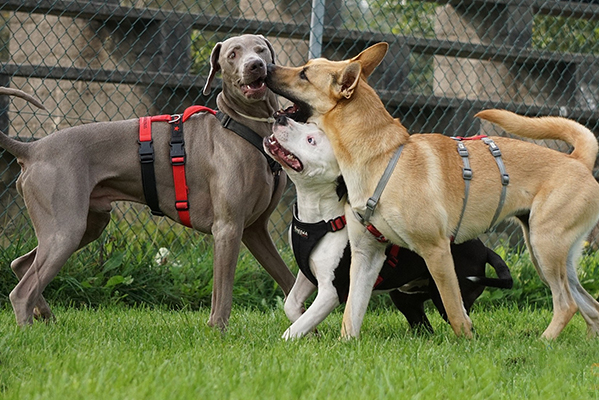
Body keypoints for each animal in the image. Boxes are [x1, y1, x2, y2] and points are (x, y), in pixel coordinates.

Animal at [0, 33, 296, 328]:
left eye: (260, 50)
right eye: (233, 54)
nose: (255, 65)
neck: (243, 126)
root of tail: (32, 149)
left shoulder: (255, 229)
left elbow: (290, 281)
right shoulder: (228, 228)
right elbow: (222, 295)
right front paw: (218, 332)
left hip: (88, 224)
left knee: (22, 265)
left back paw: (47, 317)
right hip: (66, 229)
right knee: (22, 292)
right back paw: (30, 329)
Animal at [264, 114, 512, 340]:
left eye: (311, 140)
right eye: (308, 124)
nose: (280, 117)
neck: (318, 217)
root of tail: (484, 248)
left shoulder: (332, 291)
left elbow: (294, 329)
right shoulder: (308, 274)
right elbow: (291, 305)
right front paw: (312, 333)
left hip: (445, 294)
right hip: (406, 295)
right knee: (423, 323)